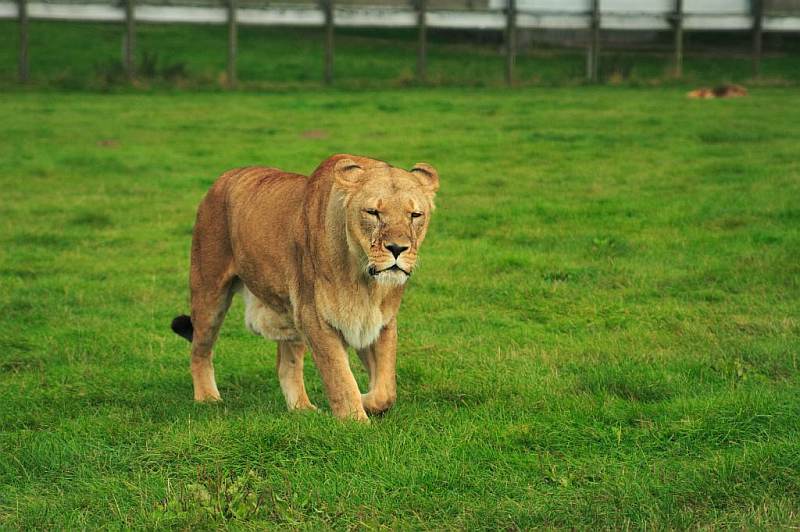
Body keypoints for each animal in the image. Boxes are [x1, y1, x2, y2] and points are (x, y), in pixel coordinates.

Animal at [171, 154, 440, 420]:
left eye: (415, 215)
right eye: (373, 212)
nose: (397, 248)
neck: (364, 278)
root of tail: (224, 177)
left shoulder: (378, 322)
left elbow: (386, 390)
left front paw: (366, 400)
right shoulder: (315, 318)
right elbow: (340, 378)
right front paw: (355, 419)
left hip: (289, 313)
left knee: (285, 364)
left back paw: (302, 408)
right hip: (209, 291)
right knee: (199, 349)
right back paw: (207, 398)